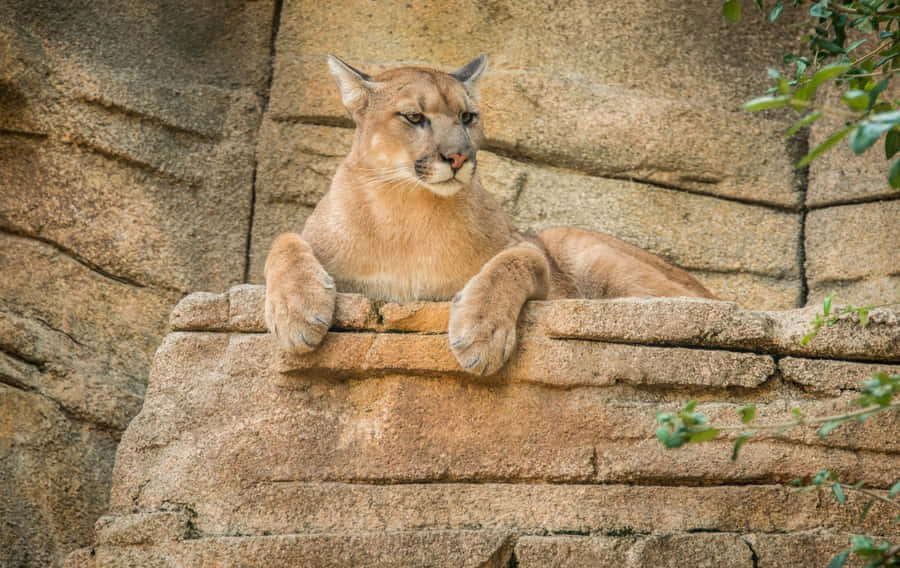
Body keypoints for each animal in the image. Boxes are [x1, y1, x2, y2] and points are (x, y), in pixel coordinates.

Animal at [264, 55, 716, 375]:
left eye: (468, 116)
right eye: (414, 116)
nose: (459, 157)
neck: (407, 208)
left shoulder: (530, 252)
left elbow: (514, 262)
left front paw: (480, 332)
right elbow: (283, 241)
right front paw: (296, 312)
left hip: (576, 243)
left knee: (695, 303)